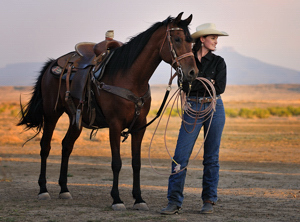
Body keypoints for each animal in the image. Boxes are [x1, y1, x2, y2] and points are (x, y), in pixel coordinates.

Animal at [17, 11, 198, 210]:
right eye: (177, 39)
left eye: (191, 42)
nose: (192, 72)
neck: (130, 78)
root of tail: (52, 64)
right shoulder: (115, 125)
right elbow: (116, 163)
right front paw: (117, 199)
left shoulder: (139, 126)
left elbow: (136, 163)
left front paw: (139, 199)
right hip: (51, 114)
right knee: (45, 147)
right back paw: (43, 189)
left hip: (76, 119)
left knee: (66, 146)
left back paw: (64, 189)